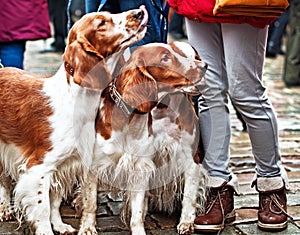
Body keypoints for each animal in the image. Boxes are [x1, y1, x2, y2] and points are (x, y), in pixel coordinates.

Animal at [0, 6, 149, 234]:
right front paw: (46, 230)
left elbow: (54, 201)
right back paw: (4, 209)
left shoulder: (67, 164)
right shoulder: (39, 167)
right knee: (3, 181)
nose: (139, 12)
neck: (76, 101)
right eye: (101, 23)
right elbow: (42, 208)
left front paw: (60, 225)